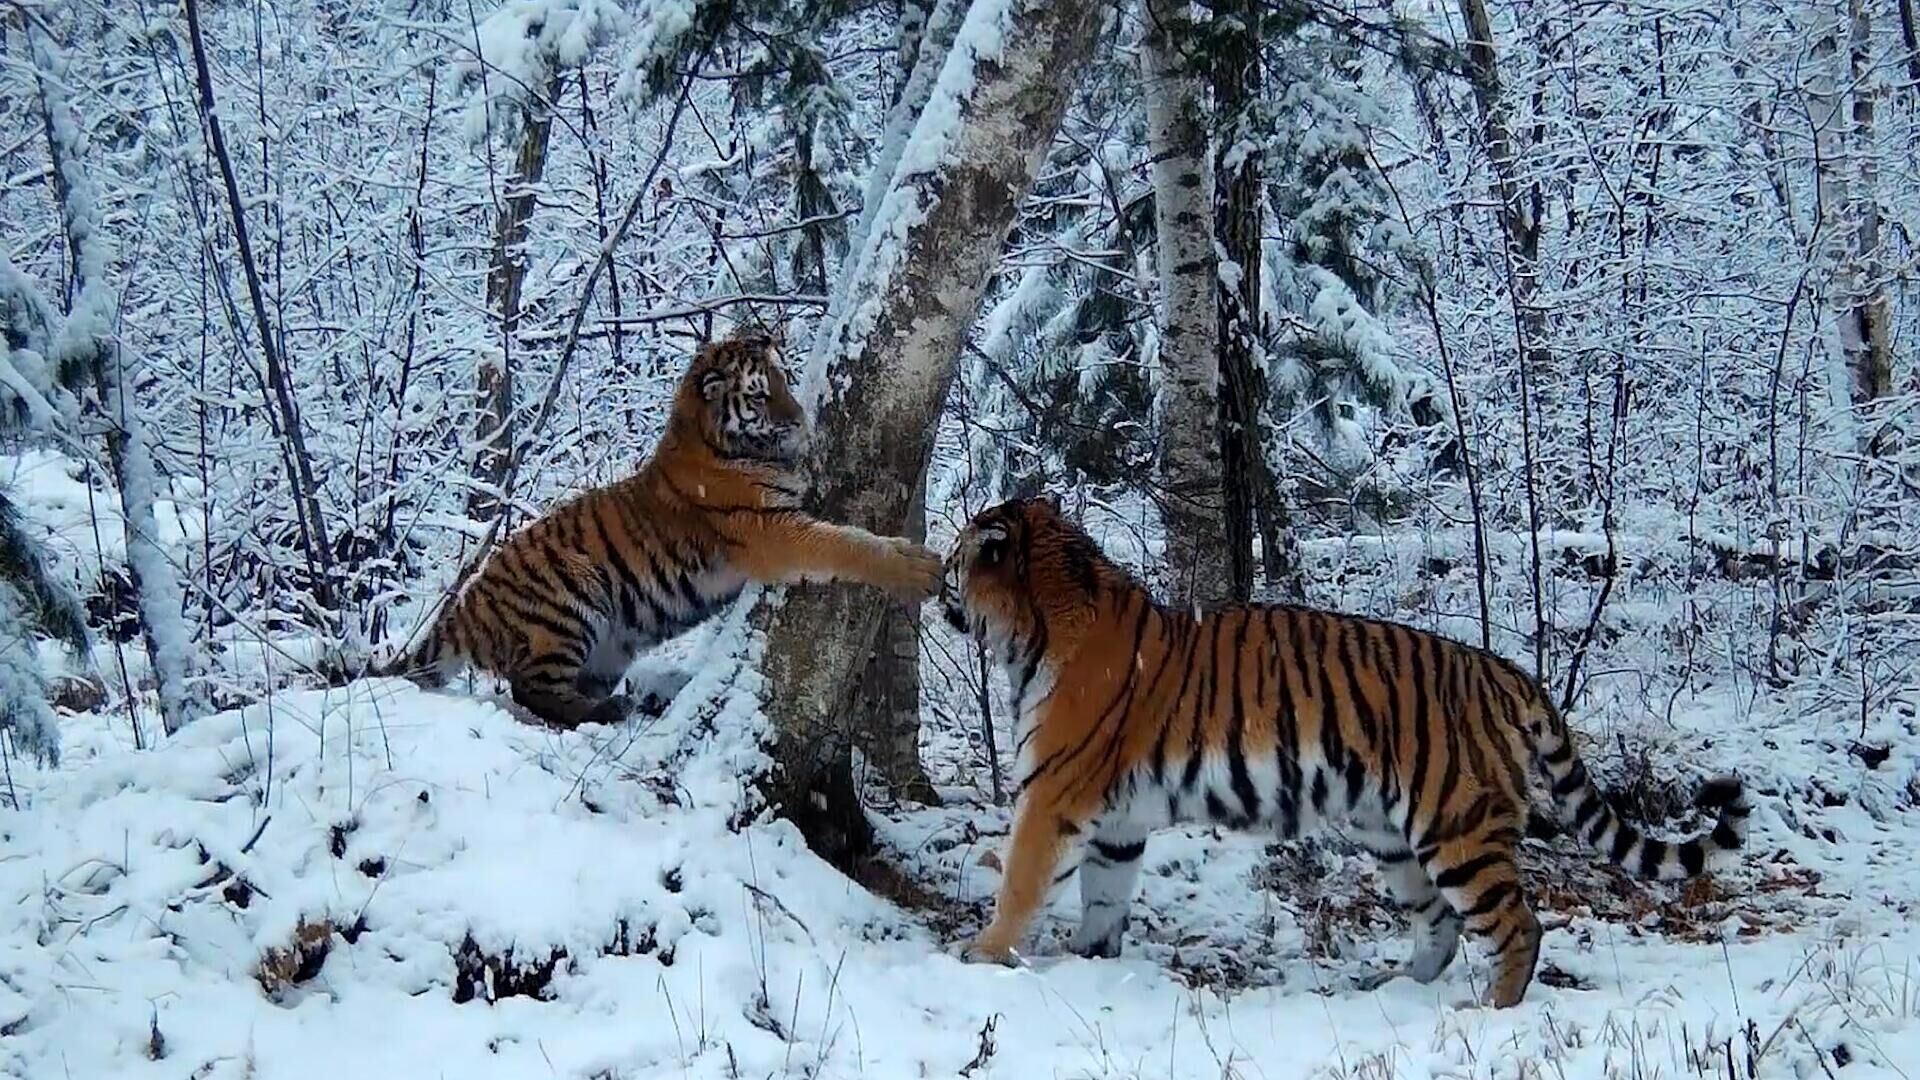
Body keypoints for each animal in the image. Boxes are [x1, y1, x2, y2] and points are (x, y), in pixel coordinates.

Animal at [378, 328, 940, 722]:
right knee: (530, 688)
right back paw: (608, 712)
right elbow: (845, 543)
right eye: (760, 395)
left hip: (610, 646)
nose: (801, 422)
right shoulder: (771, 532)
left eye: (786, 378)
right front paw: (917, 568)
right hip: (567, 603)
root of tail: (465, 604)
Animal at [936, 491, 1751, 1006]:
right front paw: (1088, 962)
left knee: (1517, 926)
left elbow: (1023, 880)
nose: (938, 584)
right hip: (1392, 836)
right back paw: (1394, 989)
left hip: (1457, 829)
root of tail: (1510, 672)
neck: (1033, 631)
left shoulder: (1053, 794)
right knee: (1441, 925)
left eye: (954, 559)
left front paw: (982, 955)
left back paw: (1490, 1012)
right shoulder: (1117, 822)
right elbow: (1104, 898)